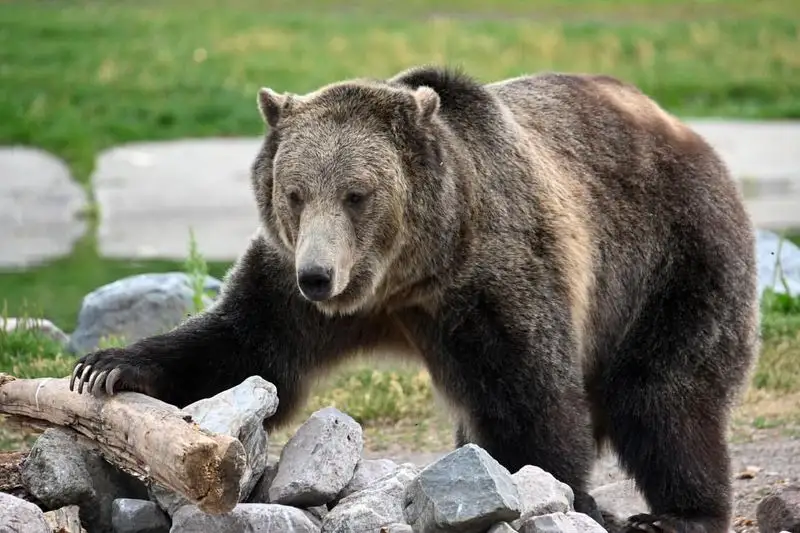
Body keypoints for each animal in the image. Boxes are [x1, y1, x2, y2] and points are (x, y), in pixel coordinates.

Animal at [69, 65, 759, 533]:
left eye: (357, 193)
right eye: (295, 192)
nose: (318, 275)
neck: (407, 277)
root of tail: (684, 128)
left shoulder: (493, 280)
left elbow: (530, 396)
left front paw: (556, 492)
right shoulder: (291, 282)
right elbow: (245, 348)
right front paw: (107, 367)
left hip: (674, 253)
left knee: (664, 395)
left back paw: (681, 512)